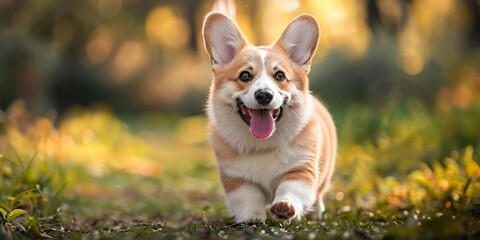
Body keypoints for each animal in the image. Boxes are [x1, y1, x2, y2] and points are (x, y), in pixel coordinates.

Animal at [202, 12, 338, 223]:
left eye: (280, 76)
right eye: (245, 76)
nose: (264, 95)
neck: (262, 145)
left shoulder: (302, 168)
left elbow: (291, 188)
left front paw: (285, 207)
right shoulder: (237, 178)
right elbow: (248, 198)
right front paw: (251, 217)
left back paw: (316, 213)